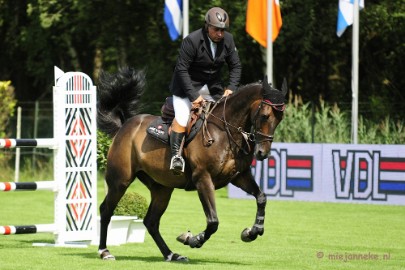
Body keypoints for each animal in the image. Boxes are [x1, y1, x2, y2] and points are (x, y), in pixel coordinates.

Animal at [97, 67, 288, 262]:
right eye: (265, 116)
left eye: (280, 118)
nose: (262, 153)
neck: (225, 132)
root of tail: (125, 127)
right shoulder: (202, 179)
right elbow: (213, 222)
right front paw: (192, 239)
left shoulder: (239, 176)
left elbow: (261, 197)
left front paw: (252, 231)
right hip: (120, 181)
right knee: (106, 210)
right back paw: (105, 251)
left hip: (162, 188)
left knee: (151, 221)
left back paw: (171, 254)